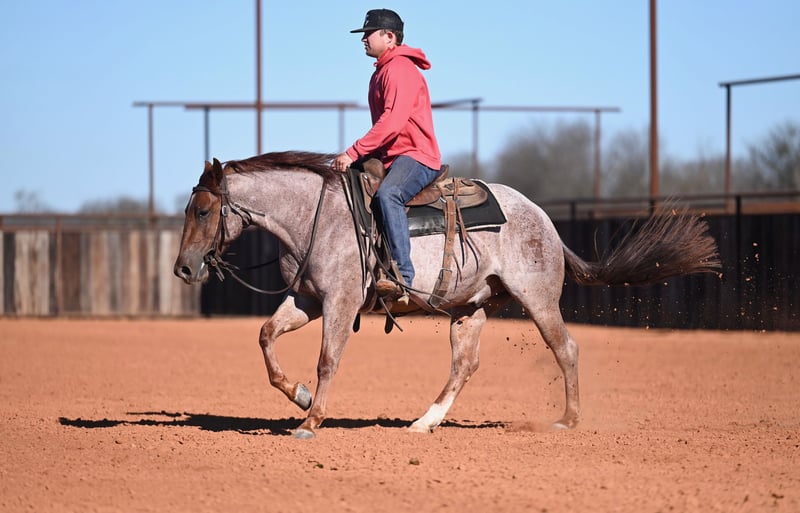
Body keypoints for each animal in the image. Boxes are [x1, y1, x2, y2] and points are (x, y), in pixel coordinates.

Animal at [173, 151, 720, 439]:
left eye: (202, 211)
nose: (183, 267)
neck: (315, 216)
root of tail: (541, 217)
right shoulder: (306, 300)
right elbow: (266, 337)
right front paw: (301, 396)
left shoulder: (340, 304)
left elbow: (328, 360)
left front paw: (311, 419)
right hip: (469, 308)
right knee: (464, 366)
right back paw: (424, 421)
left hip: (539, 300)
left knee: (565, 348)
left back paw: (567, 419)